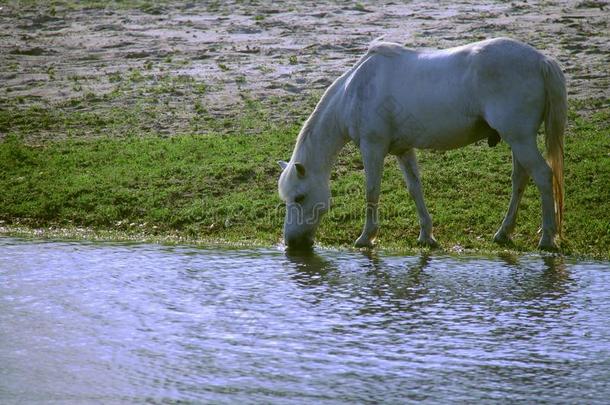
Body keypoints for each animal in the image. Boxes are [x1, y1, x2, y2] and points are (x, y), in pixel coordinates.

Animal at [278, 37, 564, 249]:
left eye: (300, 197)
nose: (291, 242)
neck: (356, 89)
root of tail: (541, 61)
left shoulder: (373, 148)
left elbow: (372, 191)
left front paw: (366, 237)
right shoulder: (403, 150)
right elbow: (415, 188)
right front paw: (426, 235)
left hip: (521, 139)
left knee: (542, 175)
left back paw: (547, 238)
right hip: (518, 141)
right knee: (520, 179)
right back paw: (504, 233)